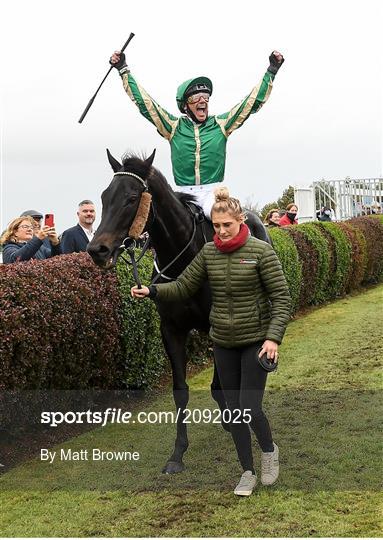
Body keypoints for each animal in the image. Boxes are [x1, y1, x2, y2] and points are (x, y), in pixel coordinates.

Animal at [88, 150, 272, 474]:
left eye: (132, 198)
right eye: (104, 196)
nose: (97, 249)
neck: (185, 257)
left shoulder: (217, 325)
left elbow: (220, 382)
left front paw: (232, 420)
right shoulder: (171, 329)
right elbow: (181, 390)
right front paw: (178, 453)